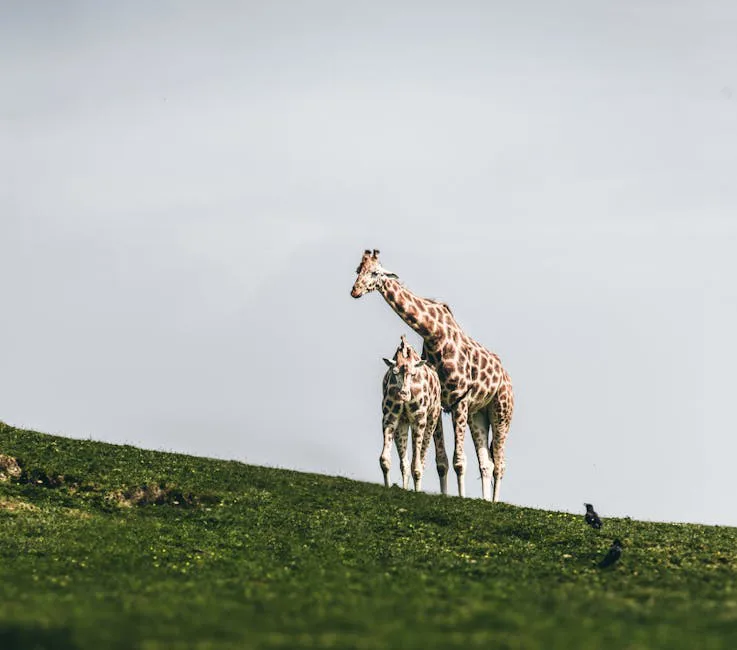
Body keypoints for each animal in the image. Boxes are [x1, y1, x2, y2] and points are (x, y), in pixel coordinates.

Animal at [380, 334, 448, 494]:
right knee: (406, 463)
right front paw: (388, 488)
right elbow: (385, 460)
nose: (403, 394)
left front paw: (416, 493)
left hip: (429, 419)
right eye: (395, 372)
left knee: (418, 462)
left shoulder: (419, 419)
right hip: (405, 422)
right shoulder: (390, 418)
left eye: (413, 374)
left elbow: (416, 467)